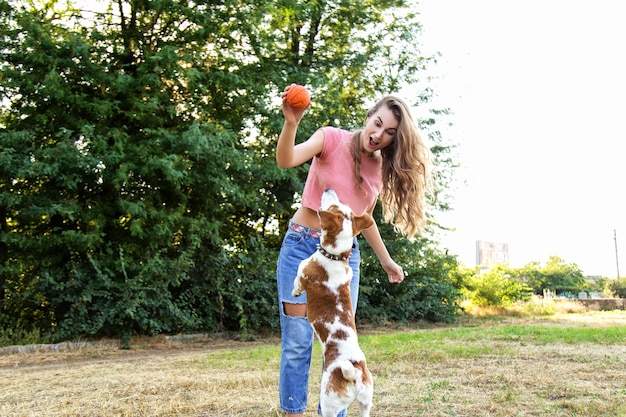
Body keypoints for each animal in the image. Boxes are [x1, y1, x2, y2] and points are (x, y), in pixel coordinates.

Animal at [292, 188, 372, 416]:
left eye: (332, 207)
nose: (329, 189)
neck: (336, 256)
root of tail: (353, 373)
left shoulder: (303, 271)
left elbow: (297, 281)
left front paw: (294, 292)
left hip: (328, 403)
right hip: (366, 402)